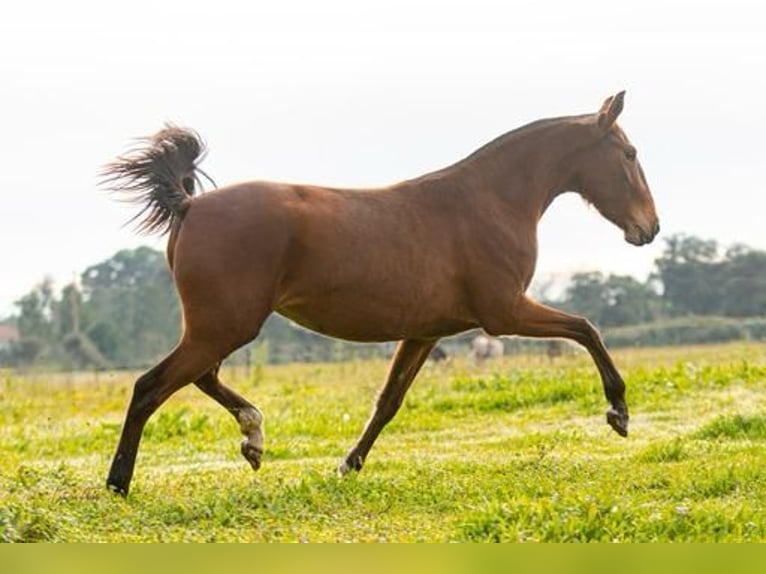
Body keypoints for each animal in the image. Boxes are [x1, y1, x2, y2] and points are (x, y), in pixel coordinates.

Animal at [103, 92, 660, 498]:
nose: (649, 228)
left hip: (218, 328)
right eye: (630, 153)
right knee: (150, 387)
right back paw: (119, 484)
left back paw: (252, 437)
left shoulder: (425, 333)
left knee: (200, 378)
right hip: (223, 327)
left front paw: (348, 466)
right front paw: (618, 413)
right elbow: (587, 328)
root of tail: (190, 204)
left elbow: (389, 401)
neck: (489, 202)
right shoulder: (503, 313)